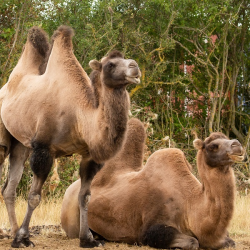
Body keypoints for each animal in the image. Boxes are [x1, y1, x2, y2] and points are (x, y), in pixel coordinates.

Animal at [0, 25, 141, 248]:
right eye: (110, 64)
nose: (135, 67)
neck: (78, 115)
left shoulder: (89, 156)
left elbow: (85, 197)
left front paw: (88, 239)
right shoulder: (43, 148)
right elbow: (34, 197)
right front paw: (23, 237)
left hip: (21, 145)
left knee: (9, 187)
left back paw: (13, 231)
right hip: (4, 137)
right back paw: (13, 234)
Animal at [61, 119, 245, 250]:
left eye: (227, 138)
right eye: (213, 146)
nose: (237, 145)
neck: (190, 204)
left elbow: (230, 242)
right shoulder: (151, 229)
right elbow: (193, 242)